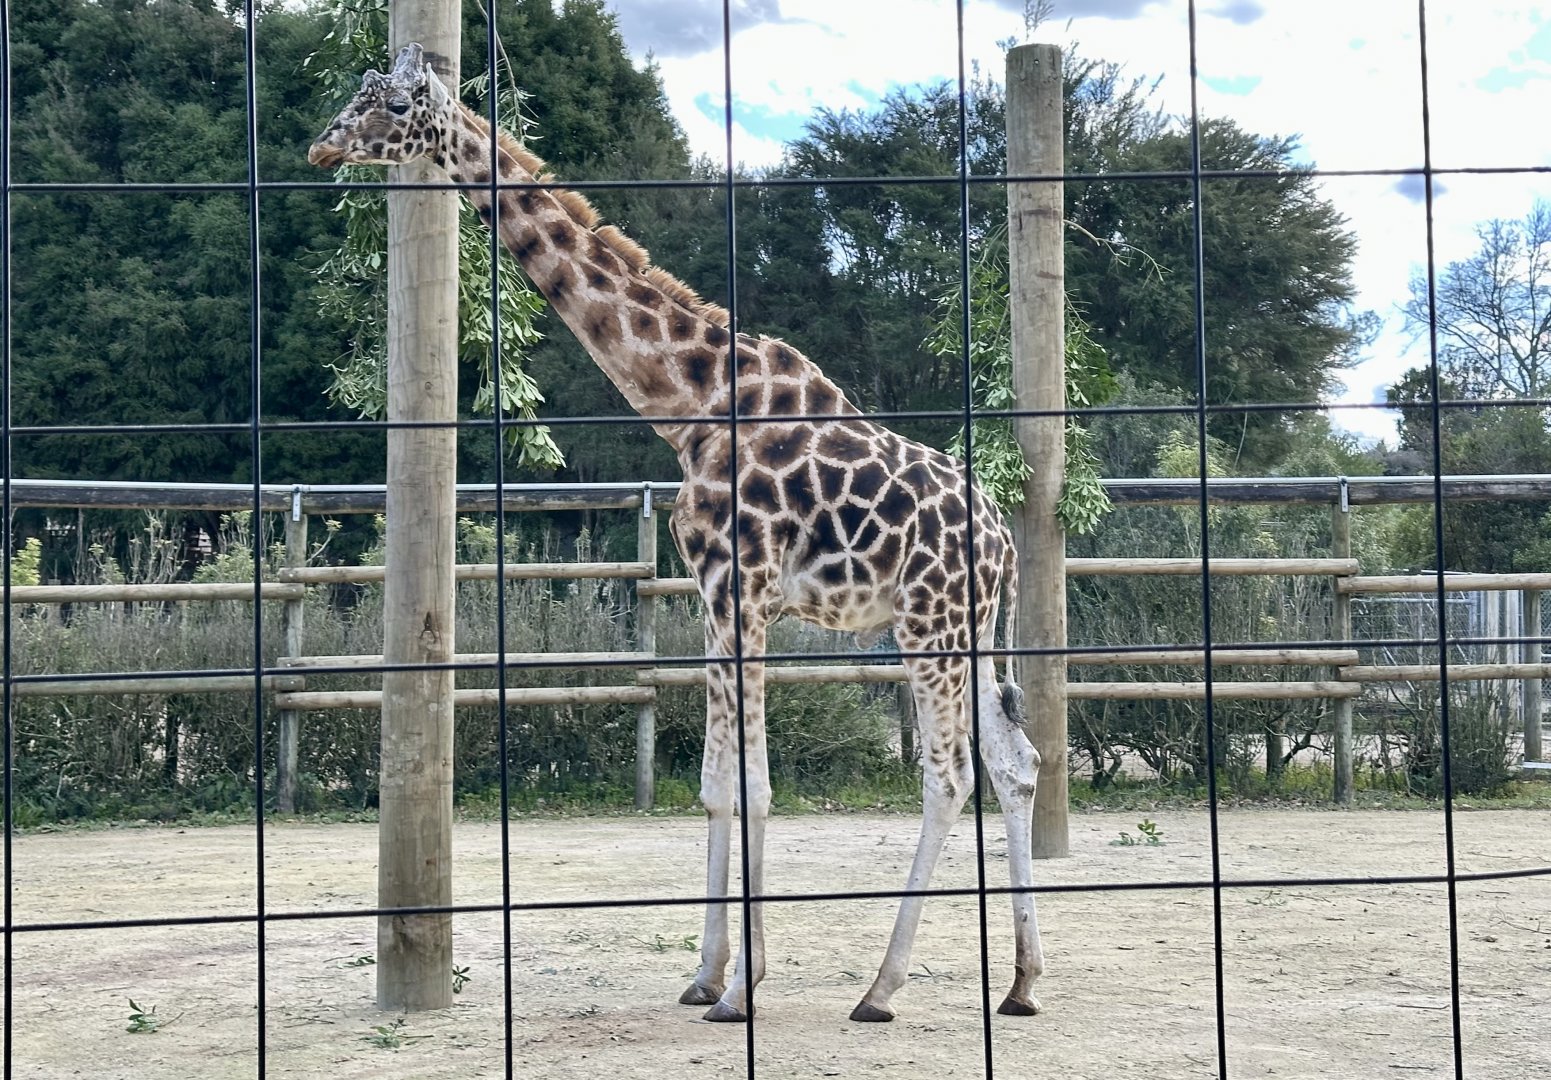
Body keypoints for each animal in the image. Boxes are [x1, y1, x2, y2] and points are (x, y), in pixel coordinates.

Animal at [310, 43, 1046, 1024]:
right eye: (357, 92)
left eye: (393, 105)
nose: (322, 144)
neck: (690, 405)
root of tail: (1005, 545)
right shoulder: (707, 596)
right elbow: (713, 786)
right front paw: (707, 974)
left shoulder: (745, 593)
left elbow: (756, 787)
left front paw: (744, 988)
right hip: (965, 631)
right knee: (1014, 763)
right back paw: (1021, 981)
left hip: (927, 627)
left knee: (951, 775)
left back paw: (881, 987)